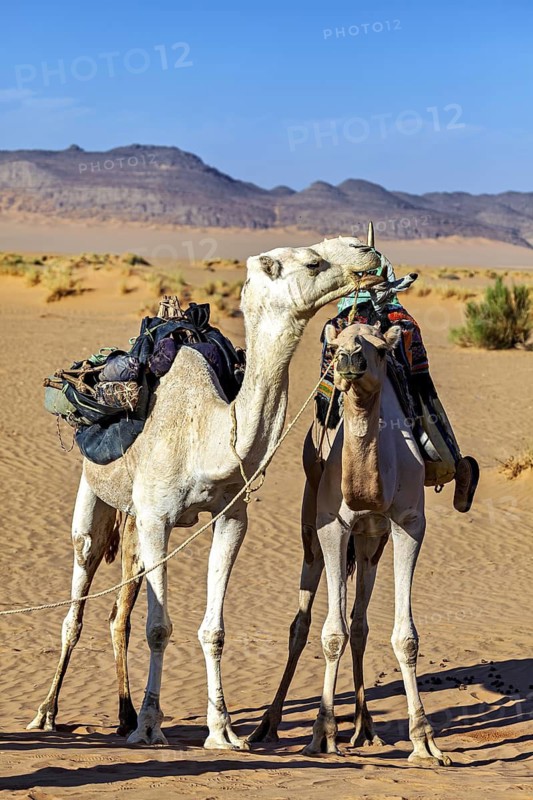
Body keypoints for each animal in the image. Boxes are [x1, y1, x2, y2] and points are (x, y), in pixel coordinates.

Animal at [28, 237, 382, 748]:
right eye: (313, 261)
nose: (366, 251)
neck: (207, 437)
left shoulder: (230, 517)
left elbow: (213, 630)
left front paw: (223, 730)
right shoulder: (157, 518)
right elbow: (159, 627)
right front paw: (152, 725)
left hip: (134, 524)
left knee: (118, 615)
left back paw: (123, 715)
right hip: (94, 499)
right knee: (76, 600)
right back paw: (48, 714)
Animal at [250, 320, 451, 766]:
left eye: (379, 349)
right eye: (335, 347)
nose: (349, 361)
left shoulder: (409, 523)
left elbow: (403, 638)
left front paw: (425, 742)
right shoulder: (332, 526)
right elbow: (330, 634)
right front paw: (322, 734)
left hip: (371, 542)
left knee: (359, 624)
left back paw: (365, 727)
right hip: (311, 531)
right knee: (301, 625)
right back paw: (266, 724)